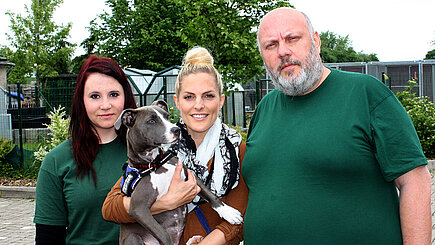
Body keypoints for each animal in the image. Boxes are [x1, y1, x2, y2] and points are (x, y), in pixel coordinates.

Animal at [114, 100, 244, 244]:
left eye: (166, 116)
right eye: (151, 121)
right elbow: (163, 233)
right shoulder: (138, 207)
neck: (155, 164)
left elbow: (210, 195)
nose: (177, 130)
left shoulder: (191, 177)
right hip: (132, 237)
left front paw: (228, 212)